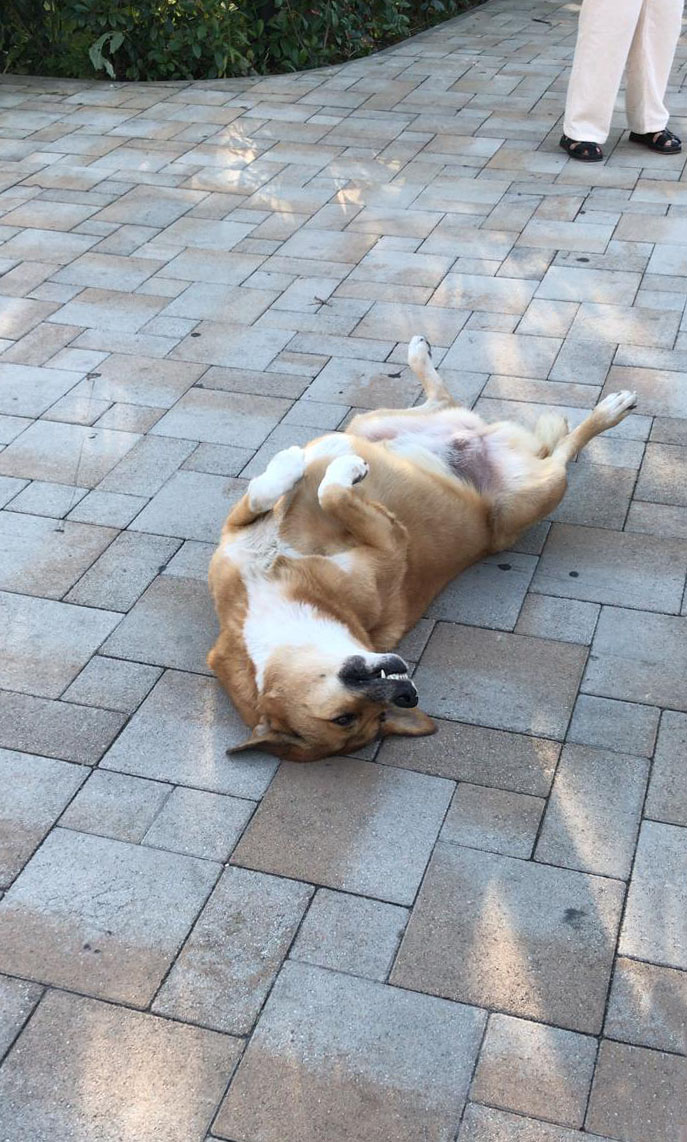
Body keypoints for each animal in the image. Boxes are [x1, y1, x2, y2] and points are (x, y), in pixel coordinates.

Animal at [208, 335, 637, 762]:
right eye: (350, 719)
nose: (408, 695)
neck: (266, 594)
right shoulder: (388, 544)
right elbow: (329, 493)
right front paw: (334, 472)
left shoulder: (241, 531)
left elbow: (272, 493)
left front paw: (293, 466)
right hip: (532, 494)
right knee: (559, 449)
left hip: (373, 425)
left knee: (461, 406)